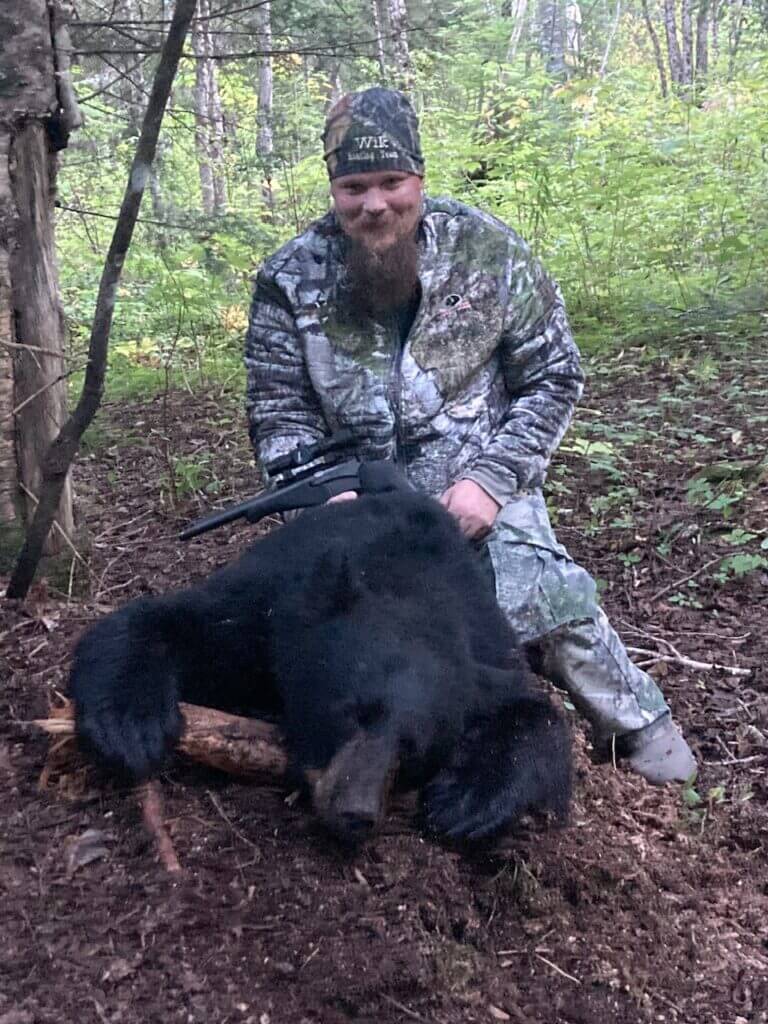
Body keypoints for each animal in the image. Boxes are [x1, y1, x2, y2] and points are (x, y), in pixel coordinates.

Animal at [70, 490, 571, 844]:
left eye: (414, 748)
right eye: (348, 711)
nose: (356, 812)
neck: (406, 584)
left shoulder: (488, 653)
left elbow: (537, 713)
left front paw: (467, 798)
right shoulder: (271, 611)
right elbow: (165, 620)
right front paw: (130, 725)